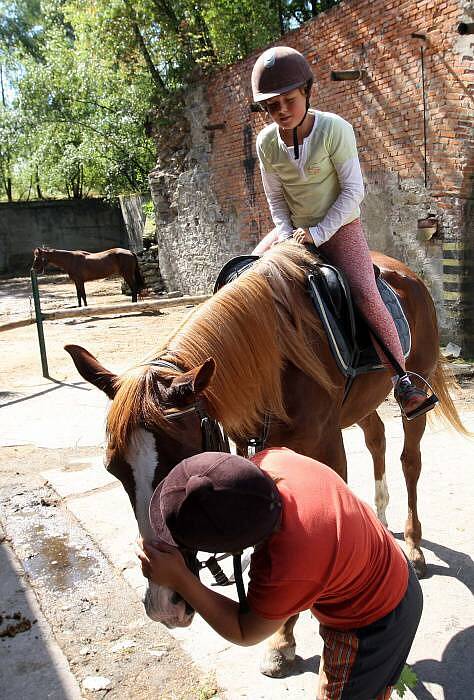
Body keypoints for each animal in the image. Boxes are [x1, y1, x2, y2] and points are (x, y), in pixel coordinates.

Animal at [65, 243, 468, 680]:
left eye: (183, 476)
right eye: (114, 470)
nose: (163, 602)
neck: (277, 355)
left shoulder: (326, 447)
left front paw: (295, 632)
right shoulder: (254, 448)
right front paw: (281, 639)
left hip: (414, 393)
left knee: (410, 460)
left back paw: (413, 546)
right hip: (362, 402)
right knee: (376, 437)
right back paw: (379, 515)